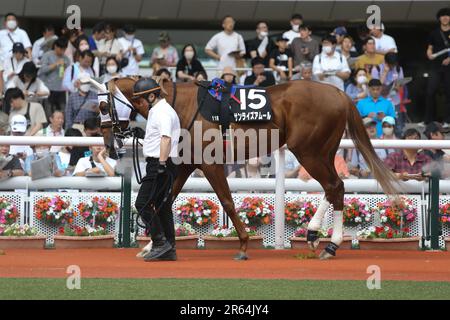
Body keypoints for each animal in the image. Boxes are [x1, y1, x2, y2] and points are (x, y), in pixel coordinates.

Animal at [99, 78, 398, 260]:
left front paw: (243, 243)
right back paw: (316, 235)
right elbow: (164, 199)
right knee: (334, 187)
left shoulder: (210, 163)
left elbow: (227, 201)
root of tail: (338, 93)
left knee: (333, 186)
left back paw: (330, 244)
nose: (110, 145)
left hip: (309, 152)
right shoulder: (186, 164)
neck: (177, 105)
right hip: (322, 152)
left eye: (103, 106)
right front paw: (153, 245)